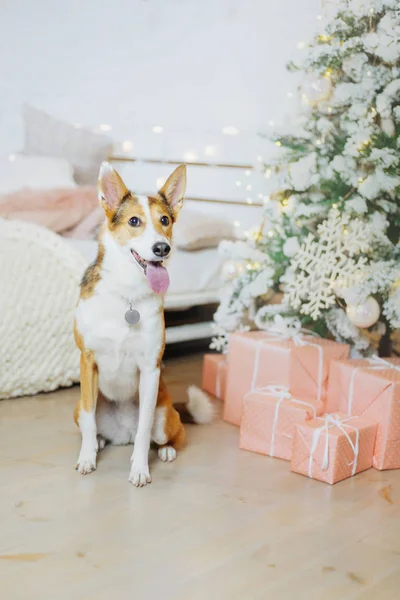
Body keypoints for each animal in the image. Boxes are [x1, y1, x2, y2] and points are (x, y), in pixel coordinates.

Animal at [75, 162, 212, 486]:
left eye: (165, 220)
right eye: (134, 221)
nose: (162, 248)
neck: (127, 293)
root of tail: (120, 434)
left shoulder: (150, 369)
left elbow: (144, 429)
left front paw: (140, 468)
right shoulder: (87, 360)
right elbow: (88, 420)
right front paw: (87, 457)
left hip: (164, 414)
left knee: (168, 434)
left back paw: (165, 451)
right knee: (92, 423)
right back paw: (99, 442)